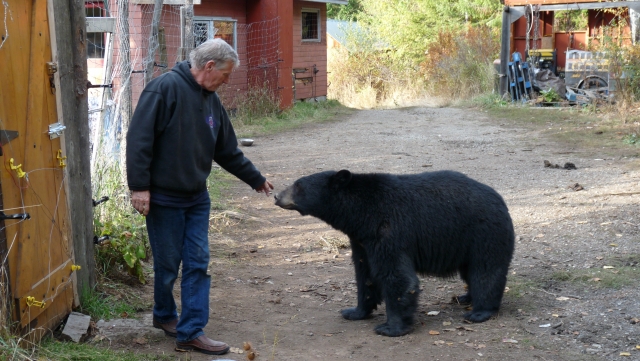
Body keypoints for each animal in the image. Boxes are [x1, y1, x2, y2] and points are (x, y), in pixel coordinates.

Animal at [274, 170, 516, 336]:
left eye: (298, 185)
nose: (276, 195)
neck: (362, 214)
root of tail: (502, 202)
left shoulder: (389, 231)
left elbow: (397, 277)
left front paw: (391, 327)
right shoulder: (362, 241)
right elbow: (365, 275)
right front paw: (354, 311)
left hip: (483, 233)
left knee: (486, 271)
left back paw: (480, 311)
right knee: (470, 271)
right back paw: (465, 296)